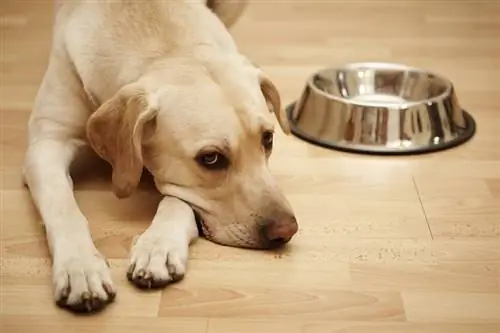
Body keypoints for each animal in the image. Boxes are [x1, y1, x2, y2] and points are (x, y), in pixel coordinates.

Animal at [22, 0, 296, 312]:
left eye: (268, 139)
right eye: (211, 158)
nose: (287, 230)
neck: (165, 45)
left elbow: (178, 201)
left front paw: (158, 247)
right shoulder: (47, 143)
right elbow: (63, 207)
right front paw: (80, 267)